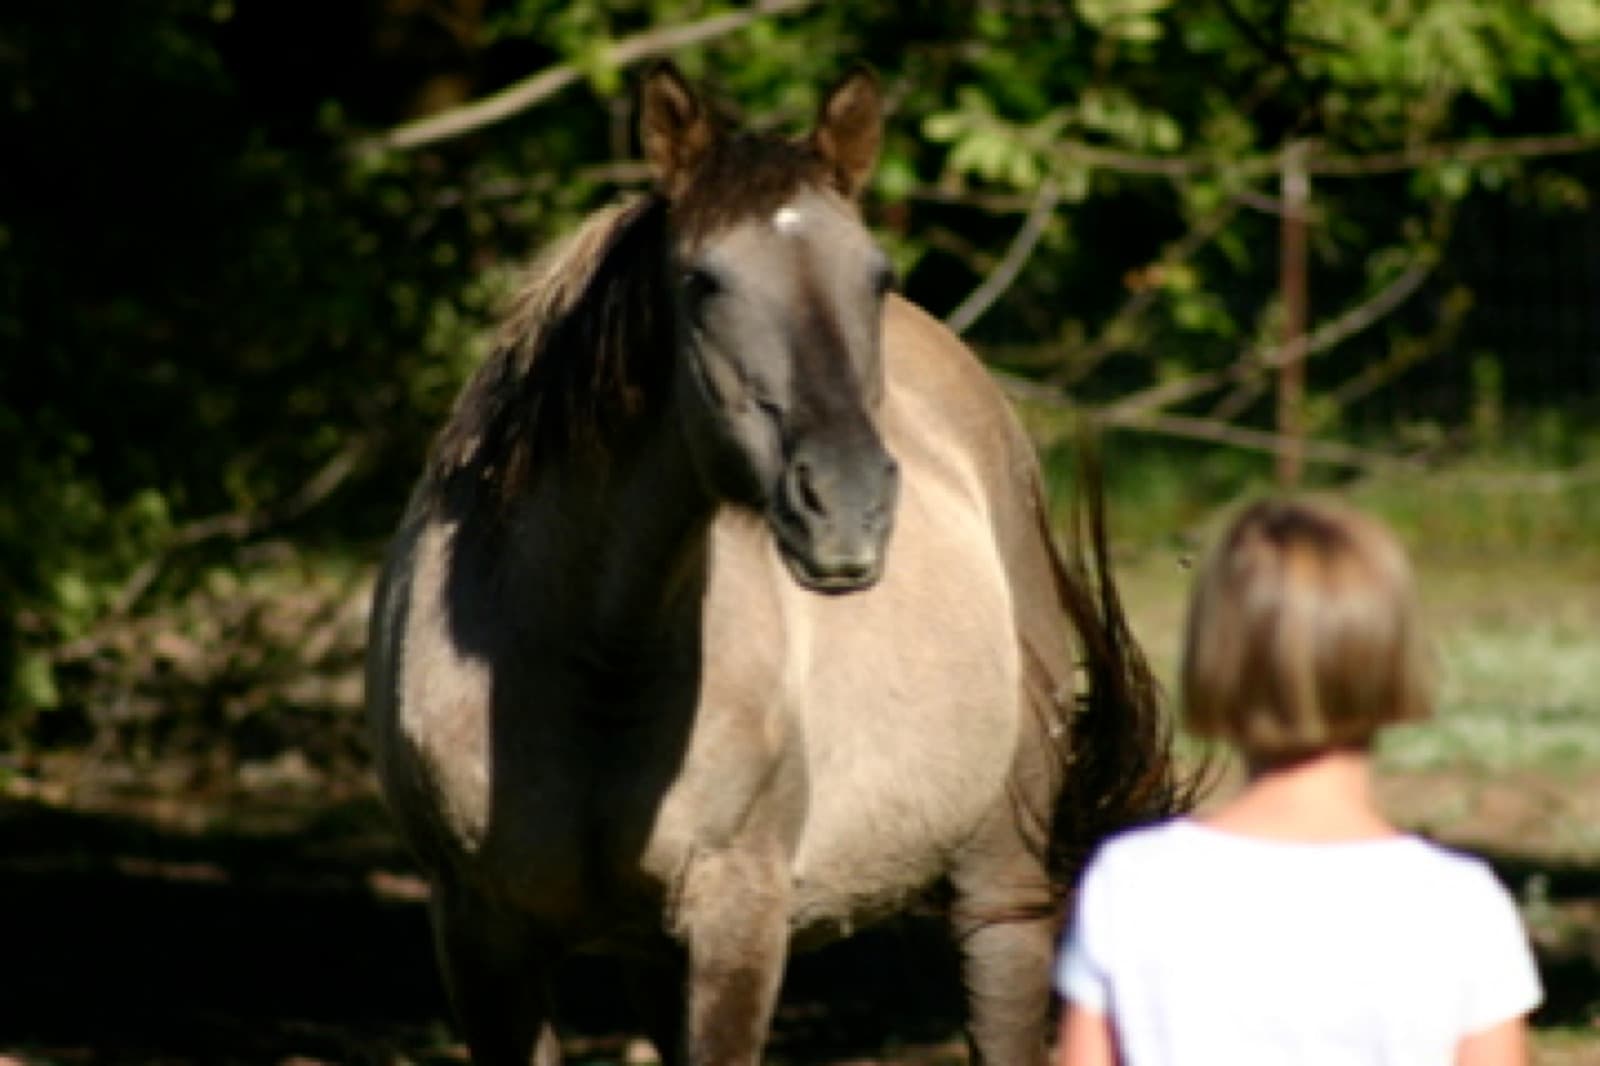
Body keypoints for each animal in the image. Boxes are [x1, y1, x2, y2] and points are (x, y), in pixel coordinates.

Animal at [366, 62, 1186, 1066]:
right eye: (703, 280)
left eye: (876, 276)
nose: (848, 506)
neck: (591, 663)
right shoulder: (483, 938)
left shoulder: (738, 922)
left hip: (999, 895)